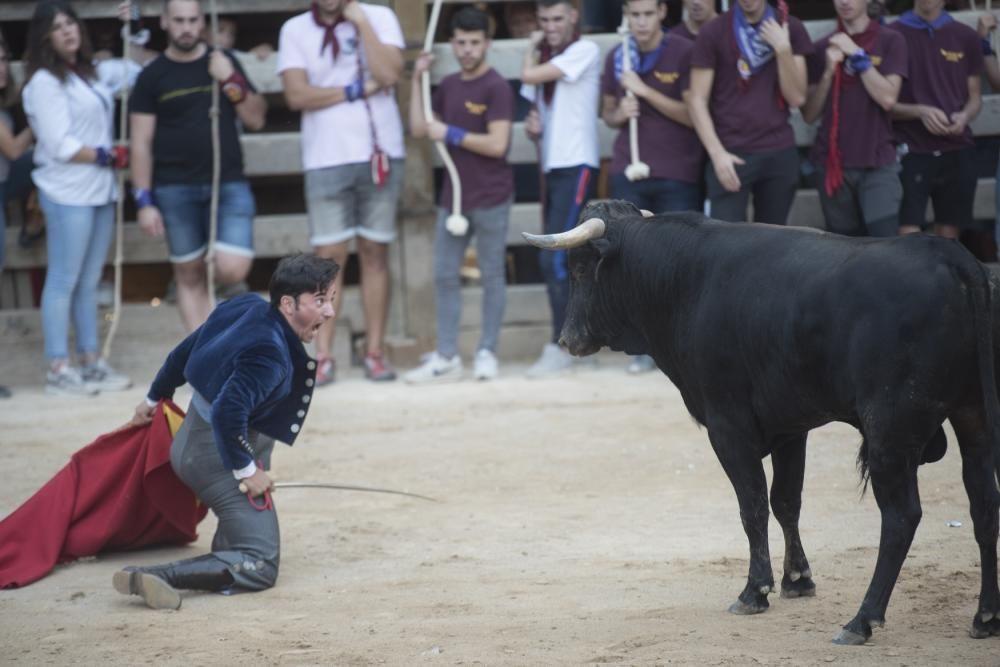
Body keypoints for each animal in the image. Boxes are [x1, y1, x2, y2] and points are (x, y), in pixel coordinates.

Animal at [524, 200, 1000, 648]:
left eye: (580, 269)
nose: (567, 339)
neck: (685, 280)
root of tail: (954, 258)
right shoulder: (792, 425)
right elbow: (786, 501)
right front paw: (798, 579)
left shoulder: (727, 427)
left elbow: (751, 505)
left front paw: (755, 591)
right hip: (972, 415)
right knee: (984, 505)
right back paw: (984, 618)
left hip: (890, 431)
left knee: (901, 517)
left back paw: (861, 621)